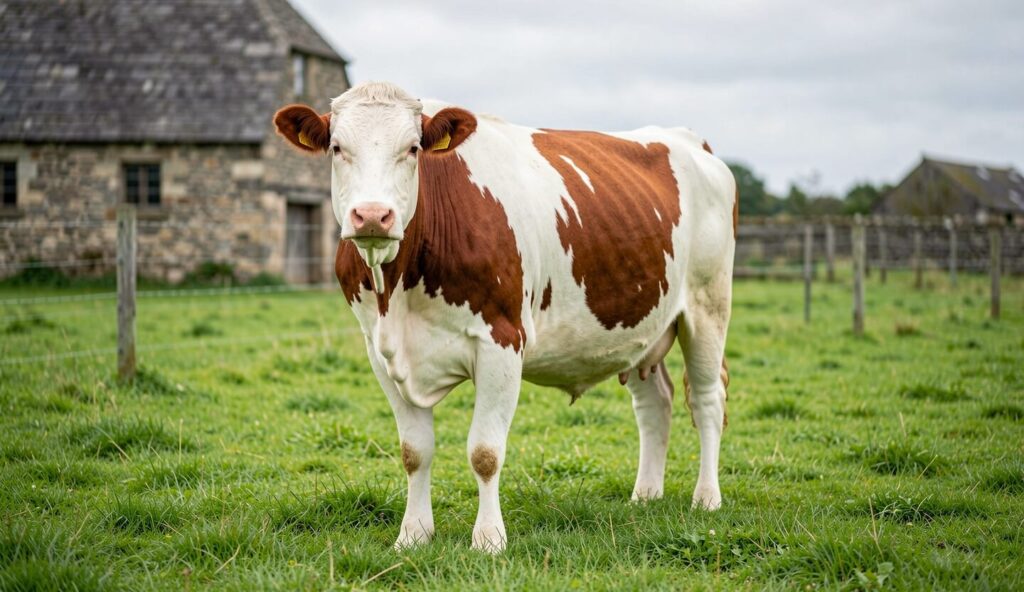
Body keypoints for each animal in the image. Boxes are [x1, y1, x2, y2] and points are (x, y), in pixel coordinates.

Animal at [273, 81, 736, 553]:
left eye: (413, 148)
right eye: (336, 147)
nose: (371, 215)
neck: (400, 293)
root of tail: (687, 138)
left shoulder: (502, 340)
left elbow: (485, 453)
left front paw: (489, 539)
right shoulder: (380, 351)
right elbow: (414, 451)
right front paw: (413, 535)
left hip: (708, 305)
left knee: (707, 398)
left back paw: (706, 498)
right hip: (641, 327)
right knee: (655, 403)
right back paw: (645, 495)